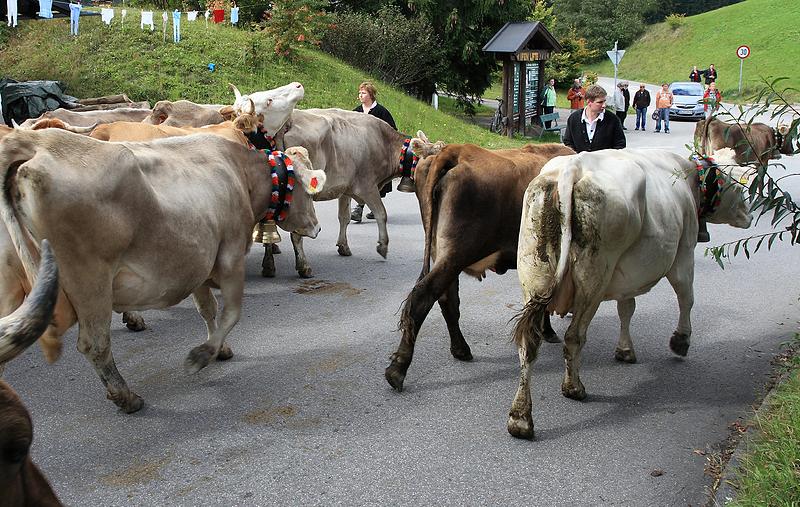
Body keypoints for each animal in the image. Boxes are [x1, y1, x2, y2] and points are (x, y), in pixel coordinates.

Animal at [382, 136, 576, 392]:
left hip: (443, 253)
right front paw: (548, 330)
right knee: (424, 296)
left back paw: (460, 349)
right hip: (456, 253)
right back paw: (398, 369)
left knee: (447, 300)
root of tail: (457, 150)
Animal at [510, 148, 752, 440]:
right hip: (595, 276)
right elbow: (686, 297)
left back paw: (520, 419)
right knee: (574, 337)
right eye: (737, 184)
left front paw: (625, 350)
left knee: (529, 343)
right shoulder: (684, 252)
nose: (749, 215)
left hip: (533, 272)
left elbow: (626, 308)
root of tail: (574, 166)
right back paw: (573, 388)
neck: (688, 179)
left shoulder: (626, 275)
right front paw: (681, 340)